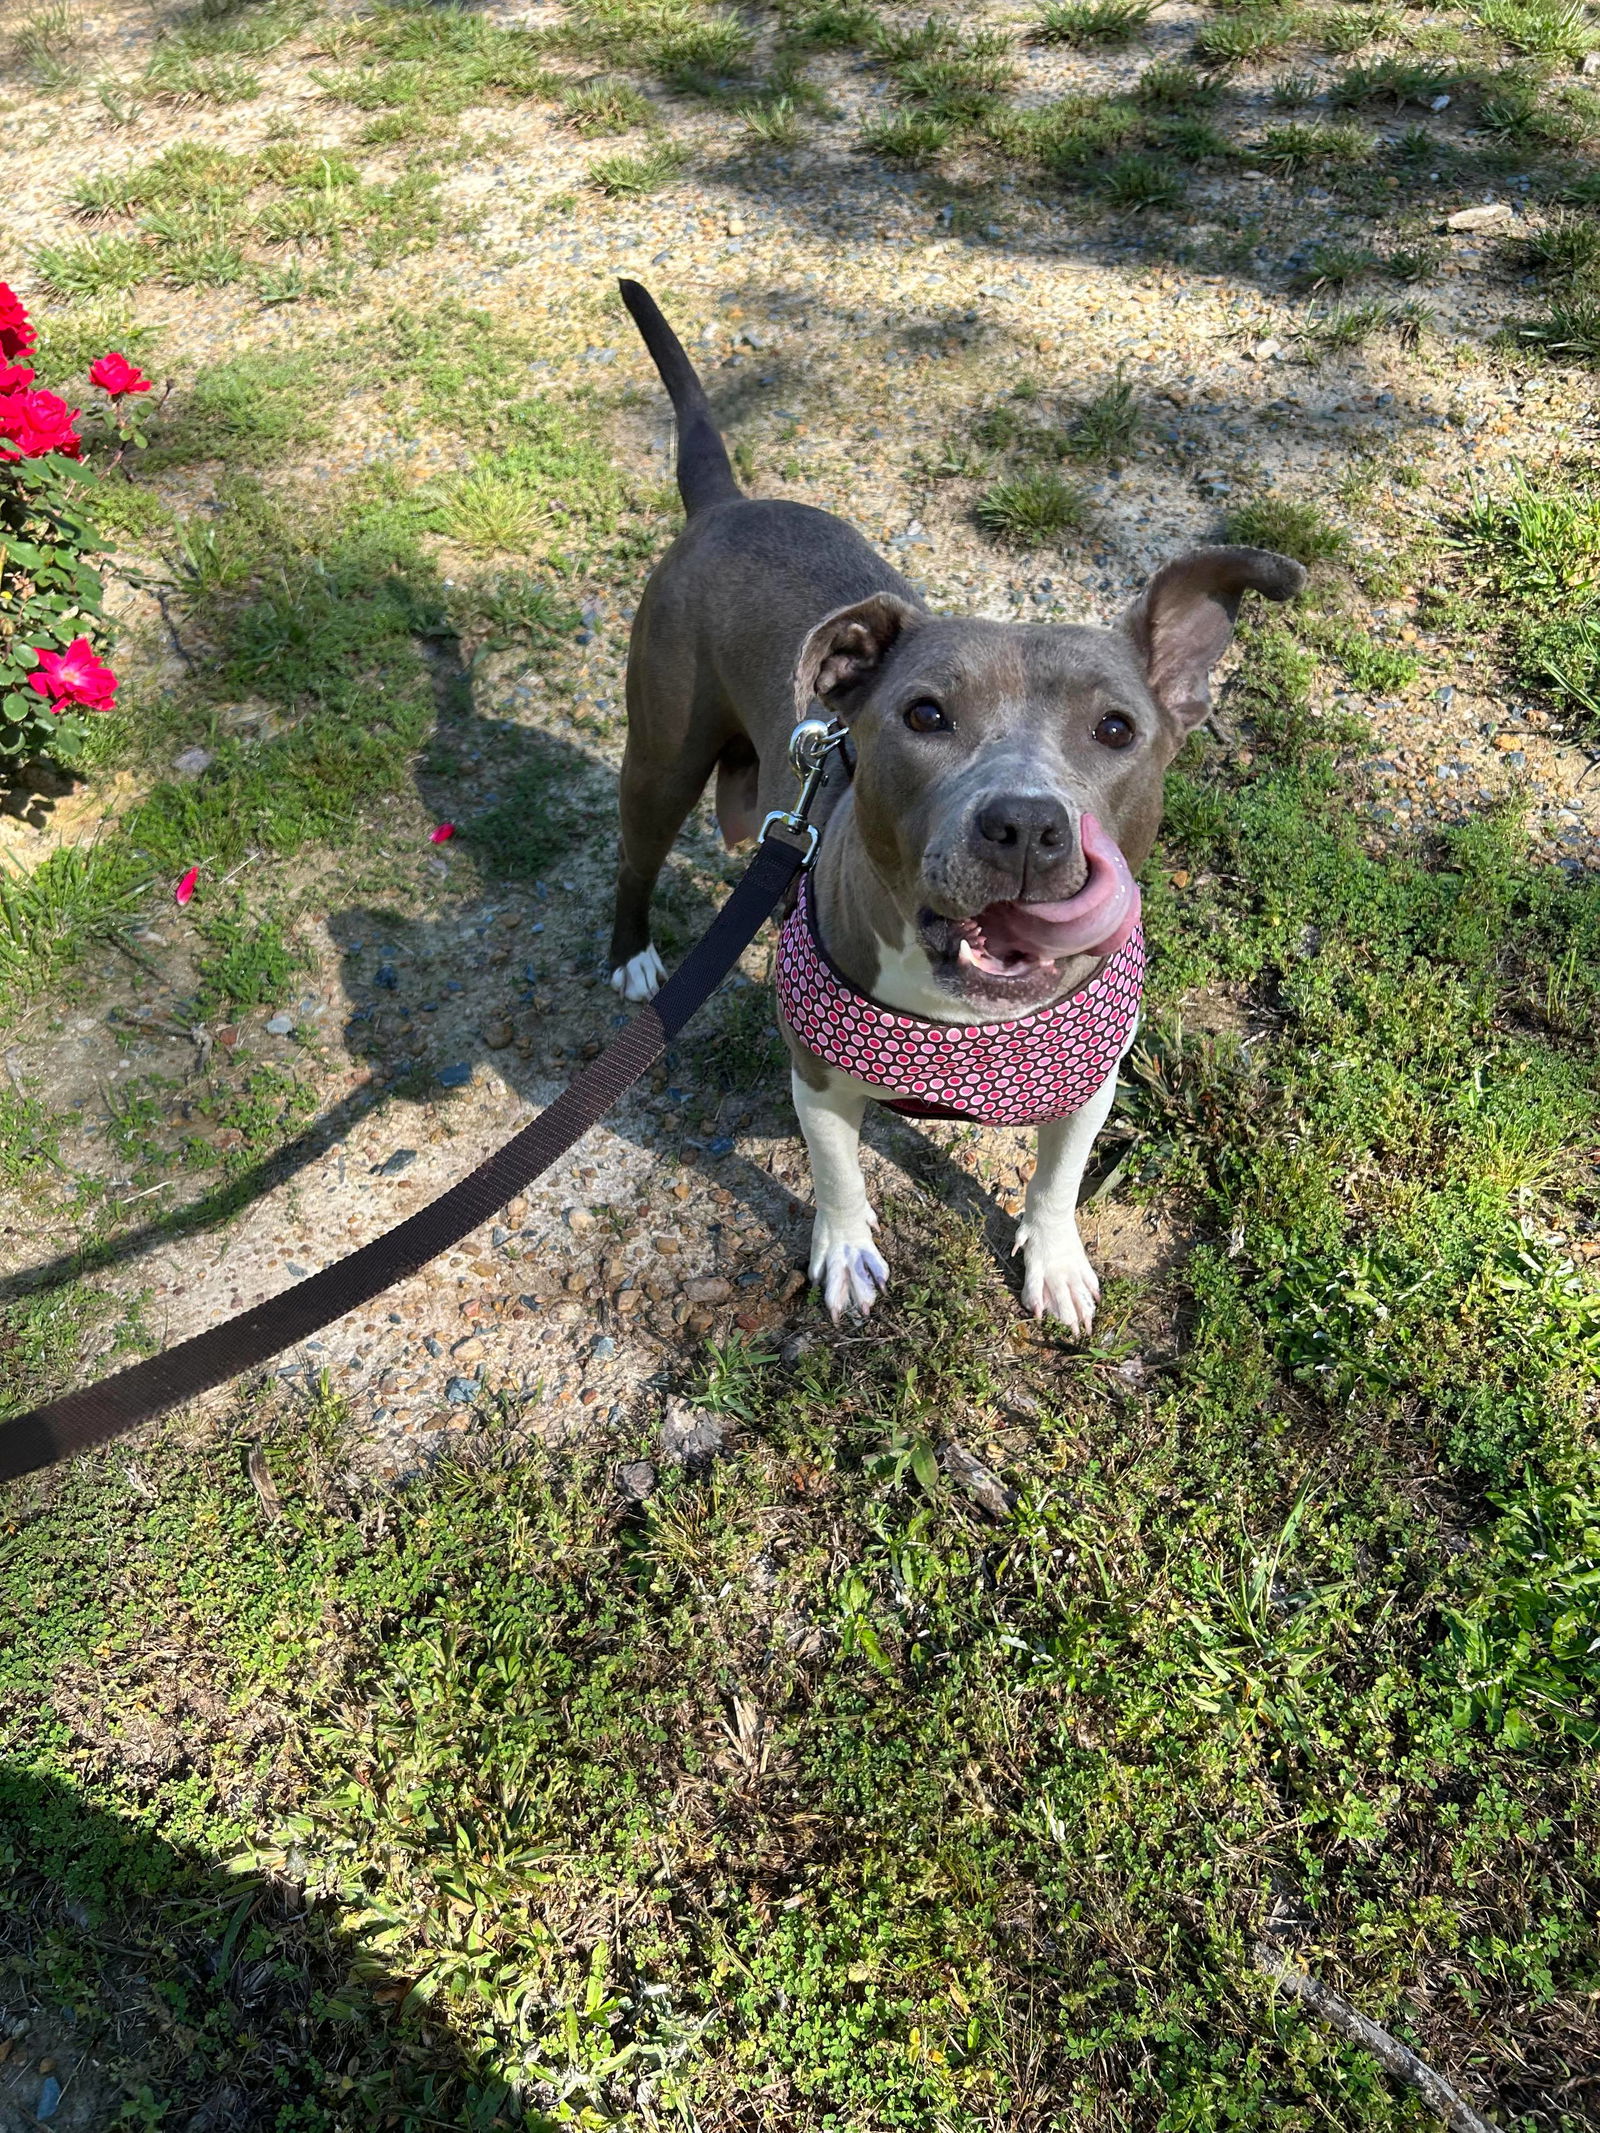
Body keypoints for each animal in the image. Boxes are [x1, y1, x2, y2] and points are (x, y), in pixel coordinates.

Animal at [605, 281, 1305, 1313]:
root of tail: (727, 505)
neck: (968, 1020)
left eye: (1116, 729)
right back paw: (633, 959)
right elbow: (839, 1170)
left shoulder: (1092, 1081)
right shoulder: (817, 1074)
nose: (1026, 823)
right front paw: (845, 1254)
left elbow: (1058, 1177)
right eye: (925, 713)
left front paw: (1054, 1261)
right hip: (661, 754)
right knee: (636, 856)